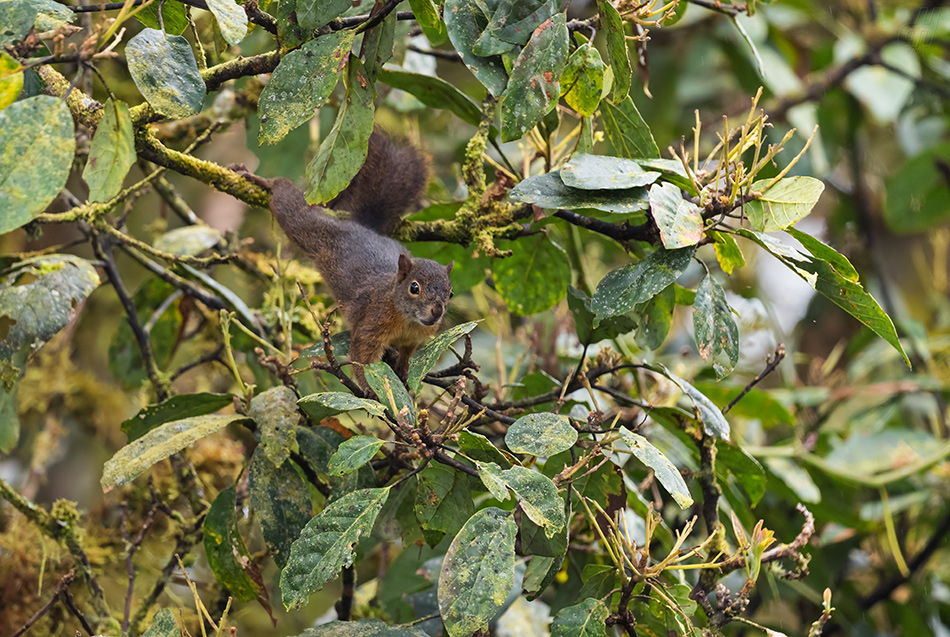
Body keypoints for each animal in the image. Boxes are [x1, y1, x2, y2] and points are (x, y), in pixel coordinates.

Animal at [242, 130, 458, 388]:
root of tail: (360, 226)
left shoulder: (413, 339)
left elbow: (406, 355)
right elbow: (363, 358)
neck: (407, 320)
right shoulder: (372, 322)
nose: (437, 311)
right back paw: (262, 181)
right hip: (307, 227)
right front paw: (371, 391)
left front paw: (403, 373)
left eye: (451, 293)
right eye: (414, 288)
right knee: (289, 203)